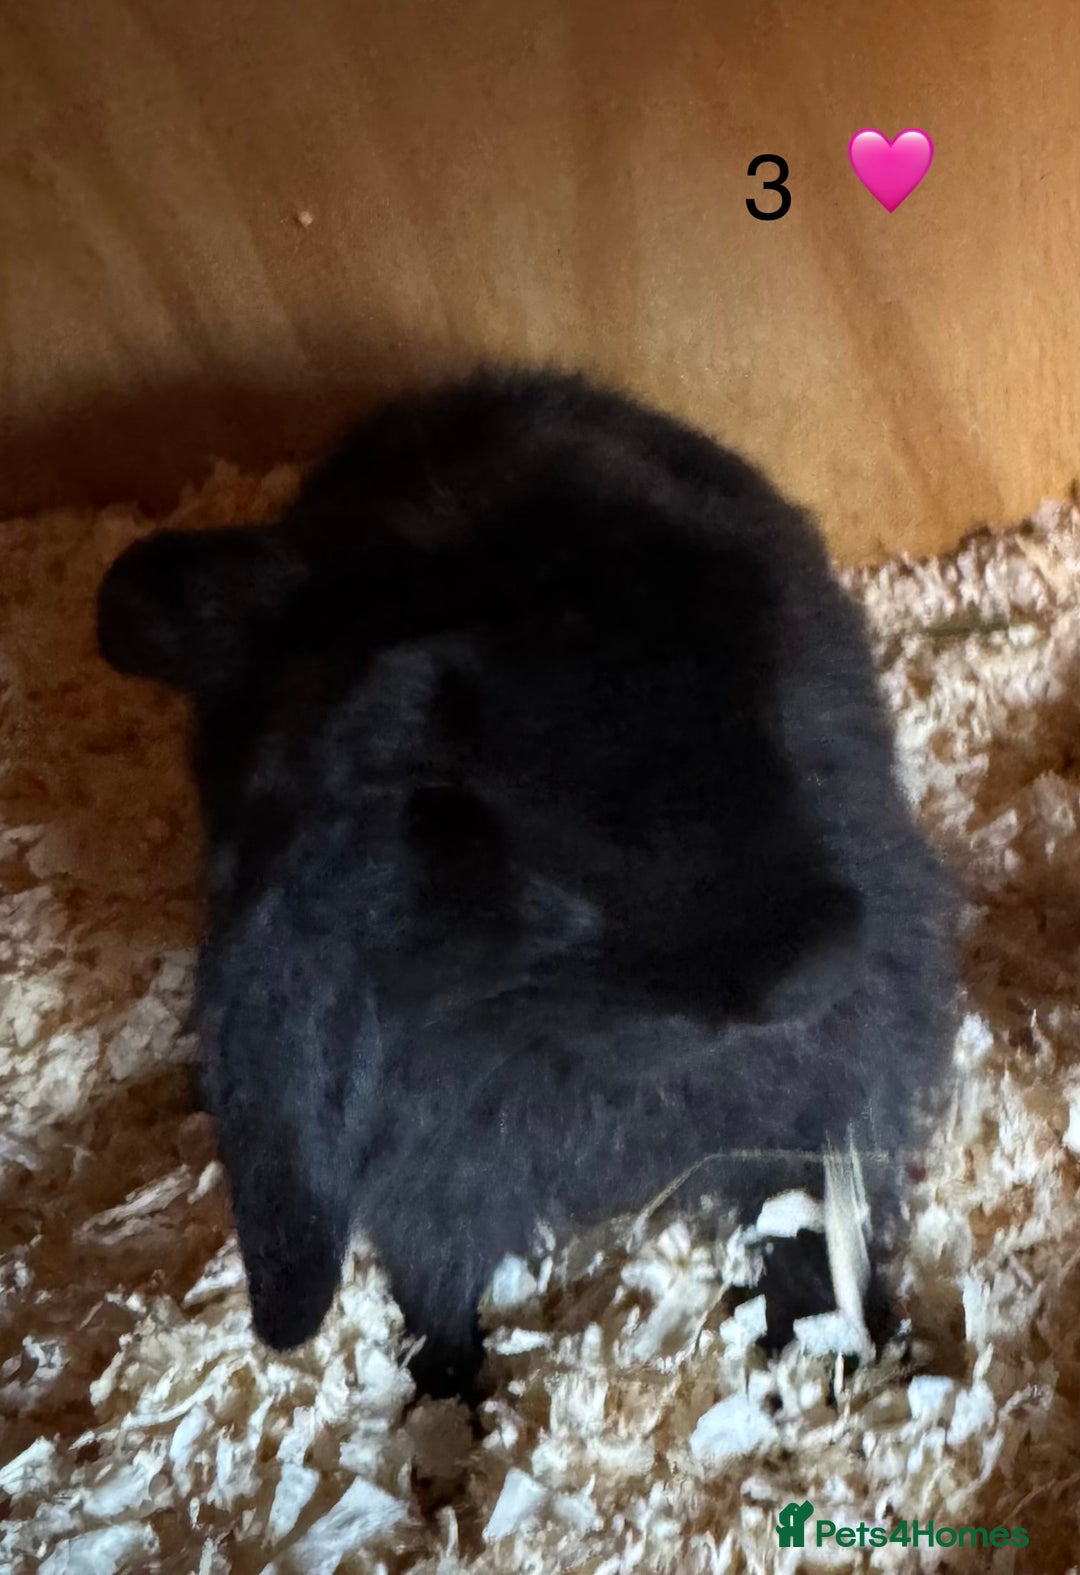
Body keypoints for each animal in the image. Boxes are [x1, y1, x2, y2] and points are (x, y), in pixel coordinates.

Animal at [97, 366, 957, 1403]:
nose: (817, 958)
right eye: (484, 825)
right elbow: (436, 1292)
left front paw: (855, 1346)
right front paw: (447, 1409)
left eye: (772, 707)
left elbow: (808, 1229)